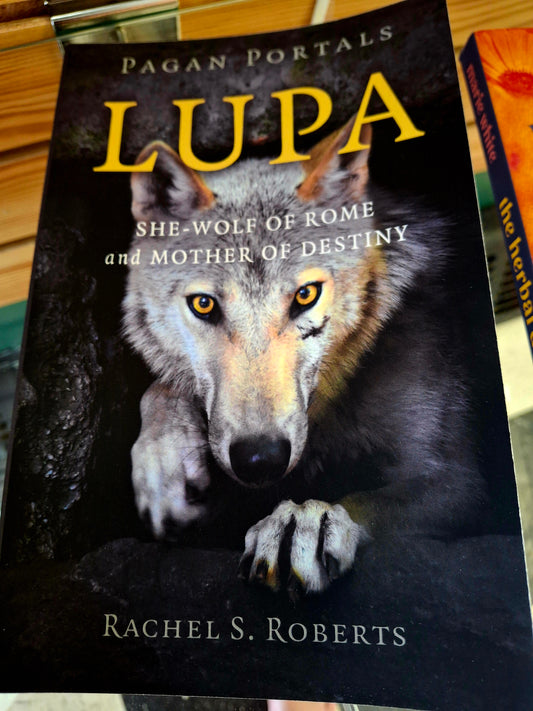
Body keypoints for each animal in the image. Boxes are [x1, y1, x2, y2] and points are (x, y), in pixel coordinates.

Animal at [122, 119, 485, 598]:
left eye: (306, 295)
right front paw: (161, 467)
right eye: (203, 304)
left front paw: (304, 520)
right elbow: (158, 390)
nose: (260, 458)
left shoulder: (456, 479)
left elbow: (364, 498)